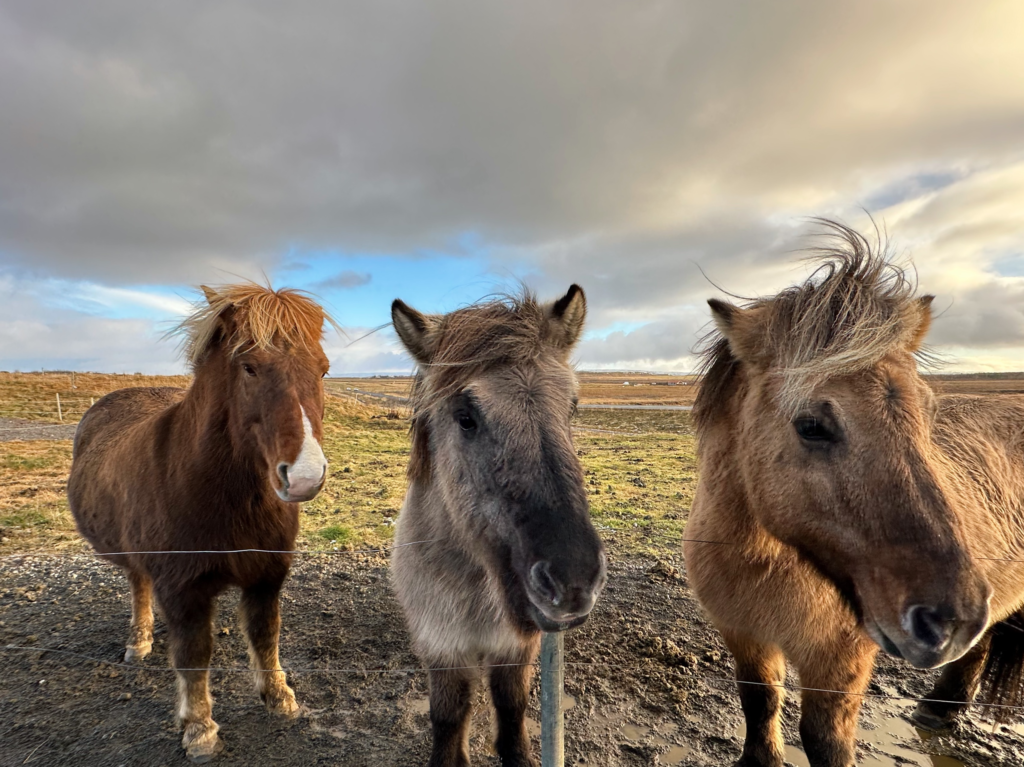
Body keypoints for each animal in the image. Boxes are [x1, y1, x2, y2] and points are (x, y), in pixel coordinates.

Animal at [65, 282, 335, 761]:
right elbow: (193, 655)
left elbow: (265, 635)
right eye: (249, 367)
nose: (305, 476)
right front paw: (199, 728)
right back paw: (139, 640)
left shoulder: (267, 576)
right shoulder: (182, 590)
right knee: (138, 584)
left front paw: (279, 696)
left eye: (323, 371)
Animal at [387, 286, 602, 765]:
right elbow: (449, 716)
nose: (573, 580)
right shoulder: (443, 649)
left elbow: (511, 706)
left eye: (572, 407)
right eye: (465, 416)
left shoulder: (515, 648)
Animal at [684, 221, 1024, 765]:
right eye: (811, 425)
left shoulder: (839, 662)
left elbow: (825, 739)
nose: (950, 619)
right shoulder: (745, 636)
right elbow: (759, 701)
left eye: (928, 414)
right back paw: (939, 709)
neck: (765, 561)